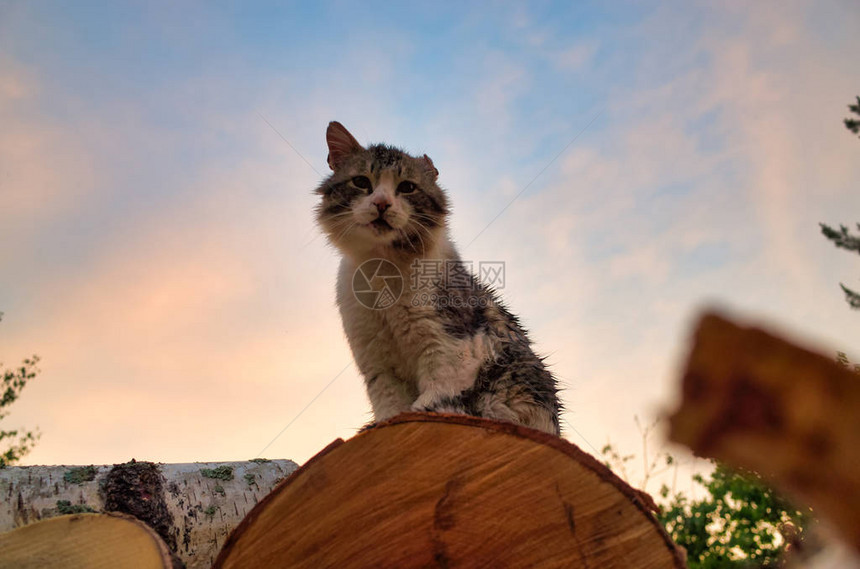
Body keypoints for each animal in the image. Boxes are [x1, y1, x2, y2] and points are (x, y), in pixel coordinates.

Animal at [316, 118, 564, 430]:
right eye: (361, 182)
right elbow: (388, 405)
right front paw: (383, 424)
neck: (383, 266)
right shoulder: (376, 360)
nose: (382, 203)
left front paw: (424, 413)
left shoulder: (449, 345)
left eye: (407, 187)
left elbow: (437, 397)